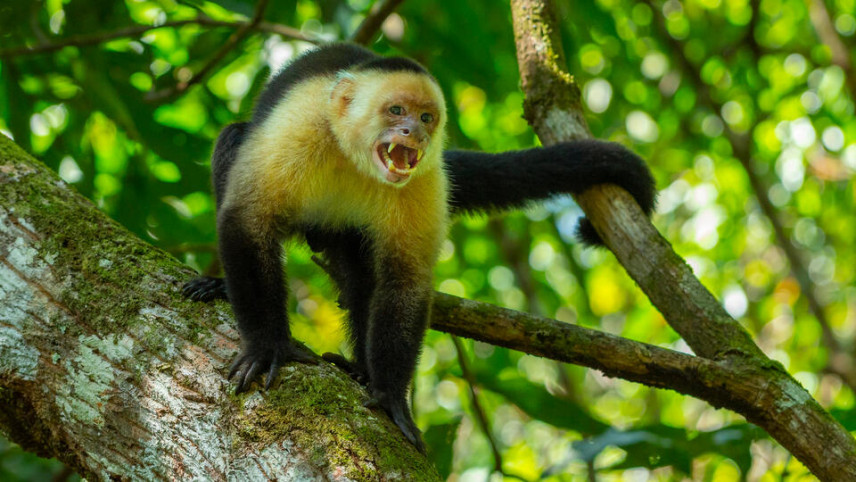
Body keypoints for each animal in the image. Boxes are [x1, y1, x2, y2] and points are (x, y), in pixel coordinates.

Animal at [182, 43, 656, 453]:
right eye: (396, 111)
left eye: (427, 117)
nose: (413, 131)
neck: (353, 155)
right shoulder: (299, 127)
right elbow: (247, 220)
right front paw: (267, 347)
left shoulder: (425, 179)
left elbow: (404, 279)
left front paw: (391, 395)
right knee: (235, 139)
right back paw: (221, 285)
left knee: (361, 275)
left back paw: (360, 370)